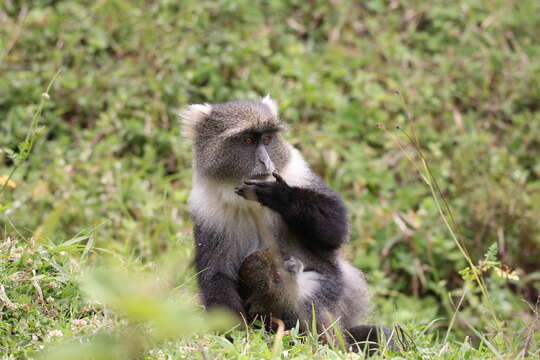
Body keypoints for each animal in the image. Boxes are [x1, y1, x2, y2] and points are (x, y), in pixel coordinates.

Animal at [181, 97, 392, 352]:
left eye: (267, 139)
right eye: (248, 140)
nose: (265, 161)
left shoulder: (299, 174)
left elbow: (335, 230)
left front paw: (282, 197)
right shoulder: (206, 211)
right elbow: (216, 275)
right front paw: (237, 338)